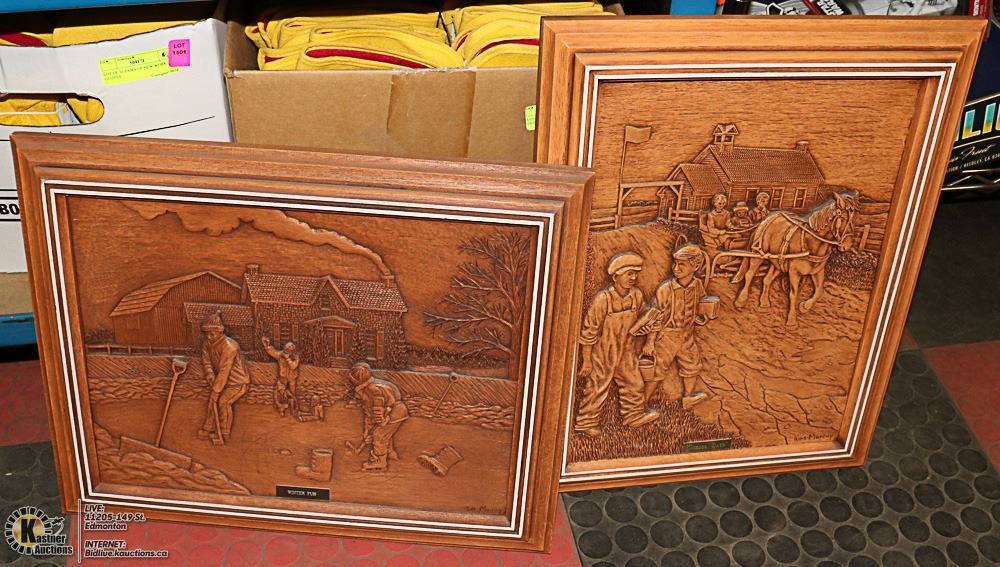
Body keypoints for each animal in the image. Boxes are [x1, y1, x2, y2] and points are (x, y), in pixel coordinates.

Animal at [732, 192, 857, 326]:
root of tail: (766, 220)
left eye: (853, 219)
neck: (811, 242)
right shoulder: (794, 272)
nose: (847, 245)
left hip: (778, 262)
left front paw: (804, 307)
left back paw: (764, 304)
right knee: (749, 274)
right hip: (758, 255)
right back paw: (740, 301)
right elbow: (793, 294)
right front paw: (792, 320)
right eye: (843, 218)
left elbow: (819, 291)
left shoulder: (817, 271)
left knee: (767, 279)